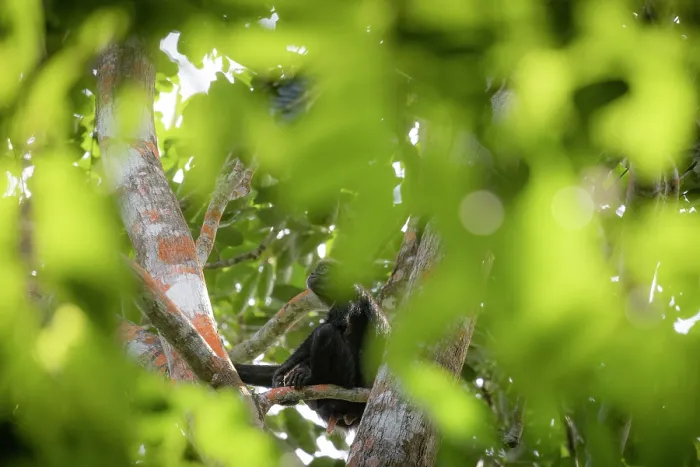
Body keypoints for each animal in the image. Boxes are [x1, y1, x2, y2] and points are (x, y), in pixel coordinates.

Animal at [234, 259, 389, 432]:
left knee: (325, 331)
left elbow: (335, 324)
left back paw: (311, 378)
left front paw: (283, 371)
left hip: (348, 378)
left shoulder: (349, 294)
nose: (312, 274)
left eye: (324, 270)